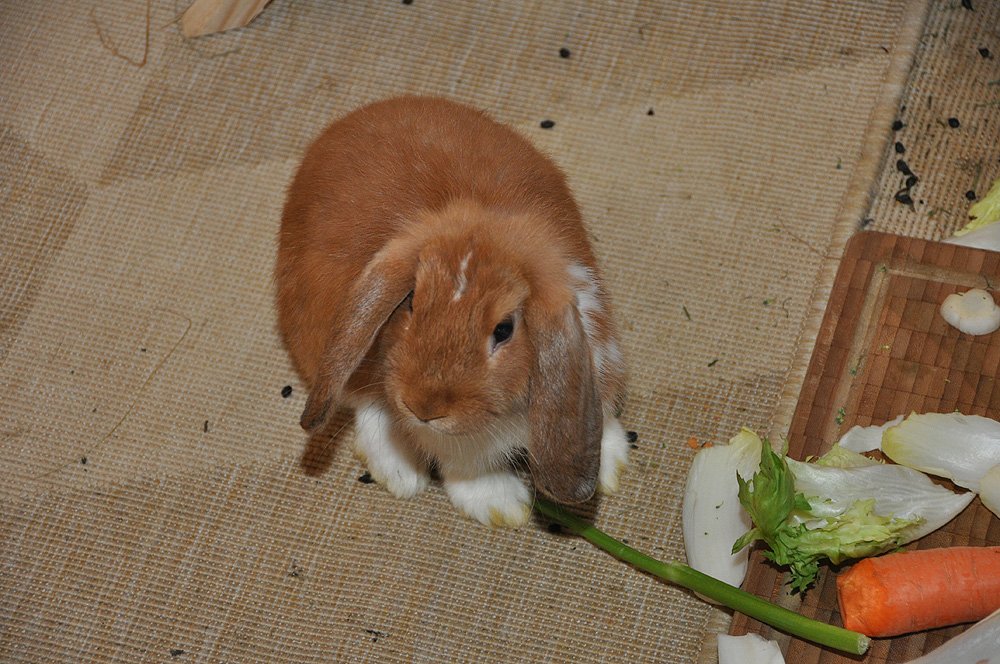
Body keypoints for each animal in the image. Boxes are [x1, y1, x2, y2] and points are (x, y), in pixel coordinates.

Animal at [274, 96, 628, 528]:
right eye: (410, 301)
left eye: (504, 329)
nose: (424, 408)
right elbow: (470, 471)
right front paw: (502, 507)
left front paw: (611, 467)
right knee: (364, 405)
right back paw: (401, 475)